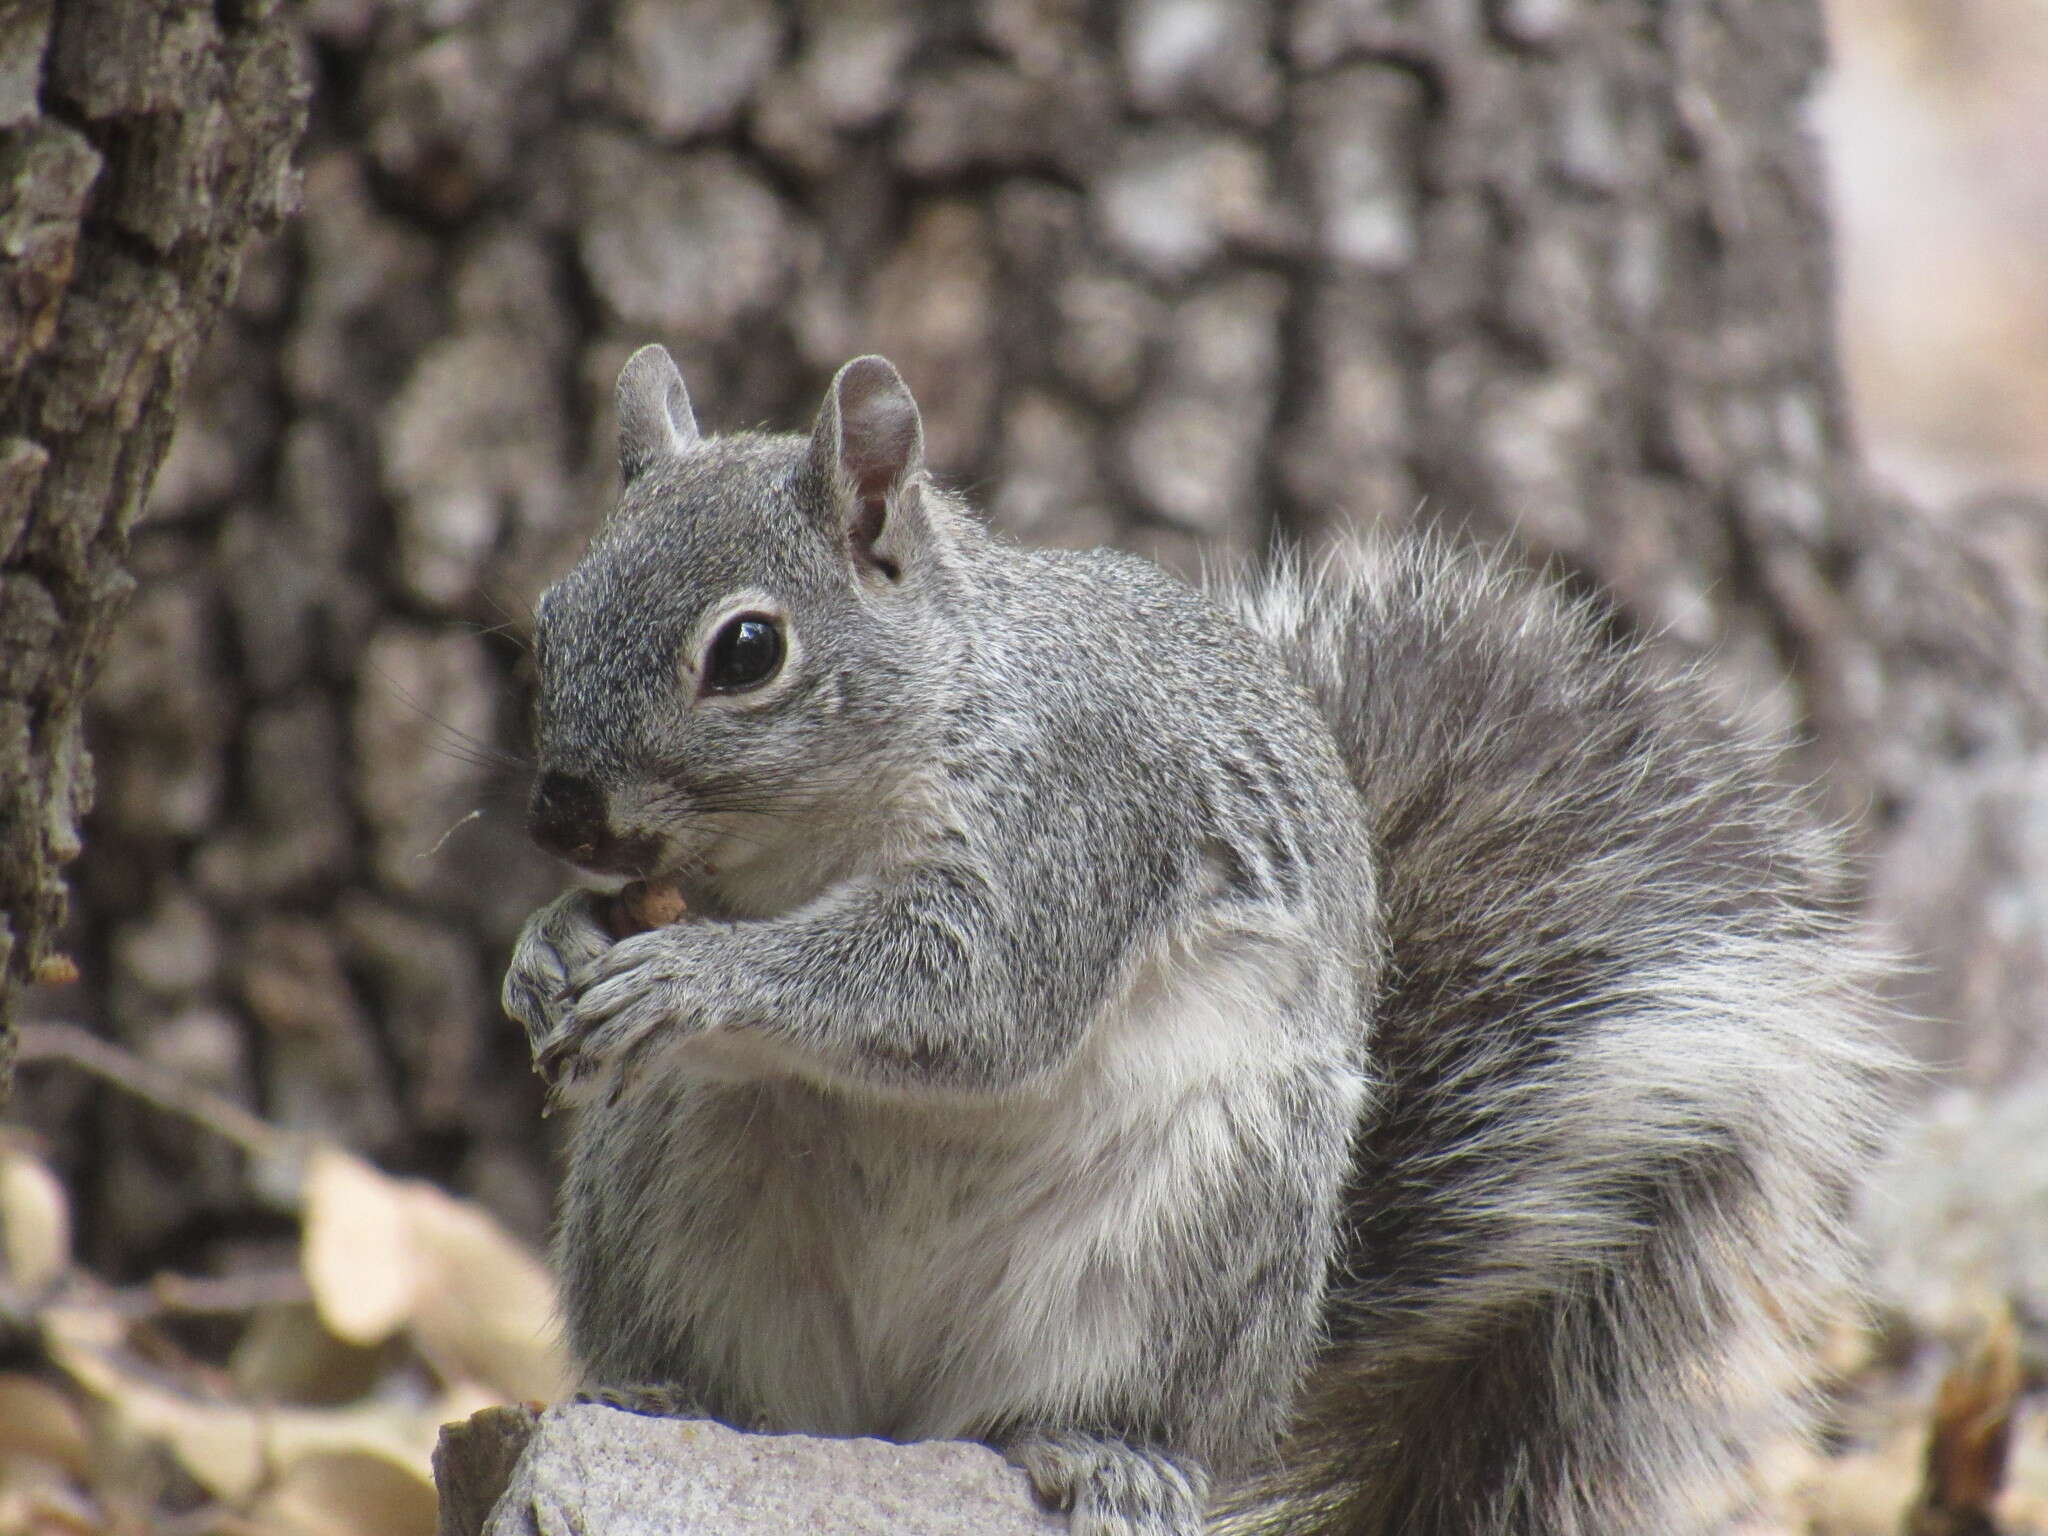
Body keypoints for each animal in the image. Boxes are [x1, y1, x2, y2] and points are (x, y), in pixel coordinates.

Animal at [503, 348, 1892, 1536]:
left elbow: (971, 994)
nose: (558, 809)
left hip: (1195, 1229)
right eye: (551, 610)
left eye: (747, 650)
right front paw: (546, 949)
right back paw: (660, 1397)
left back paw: (1102, 1453)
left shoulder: (1075, 819)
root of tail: (900, 1420)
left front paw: (694, 976)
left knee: (1110, 1412)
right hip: (666, 1181)